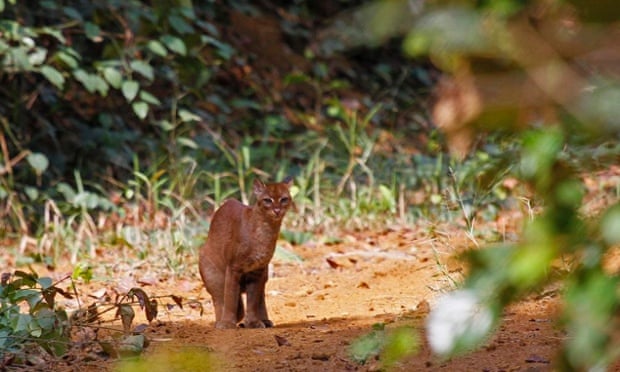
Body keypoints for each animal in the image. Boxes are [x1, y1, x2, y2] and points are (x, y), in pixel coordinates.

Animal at [200, 177, 294, 328]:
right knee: (219, 299)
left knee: (260, 296)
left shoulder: (257, 270)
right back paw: (220, 321)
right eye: (268, 200)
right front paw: (227, 323)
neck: (266, 230)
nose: (277, 210)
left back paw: (264, 320)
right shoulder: (233, 268)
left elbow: (253, 300)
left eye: (284, 199)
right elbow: (230, 297)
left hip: (264, 274)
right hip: (213, 276)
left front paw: (253, 322)